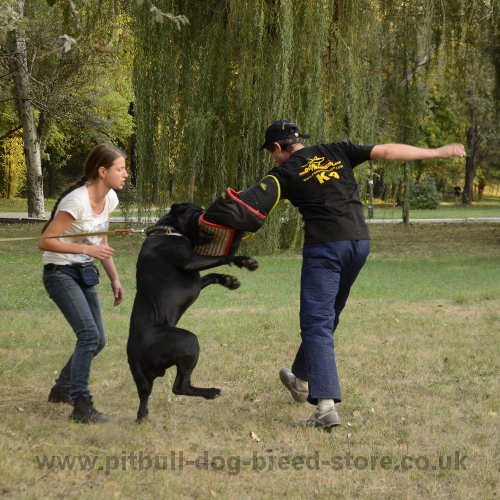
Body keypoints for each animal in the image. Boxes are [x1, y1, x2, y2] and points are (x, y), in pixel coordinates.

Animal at [127, 203, 260, 422]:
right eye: (198, 210)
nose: (211, 214)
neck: (169, 231)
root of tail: (133, 355)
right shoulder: (190, 262)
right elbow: (221, 257)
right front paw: (243, 261)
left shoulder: (197, 276)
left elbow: (211, 275)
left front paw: (227, 280)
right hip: (189, 341)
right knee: (180, 387)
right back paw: (212, 392)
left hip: (149, 378)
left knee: (148, 395)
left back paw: (143, 416)